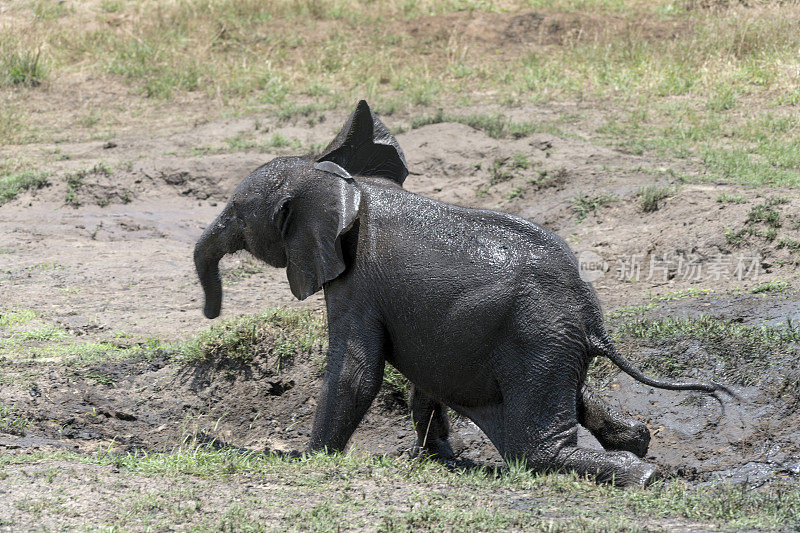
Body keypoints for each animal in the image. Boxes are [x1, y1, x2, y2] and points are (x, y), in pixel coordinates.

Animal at [195, 100, 732, 486]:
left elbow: (356, 373)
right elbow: (418, 380)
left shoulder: (356, 284)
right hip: (554, 343)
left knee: (536, 450)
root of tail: (592, 316)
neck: (342, 182)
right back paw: (637, 445)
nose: (210, 313)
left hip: (536, 336)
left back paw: (643, 477)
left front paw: (309, 458)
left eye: (237, 215)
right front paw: (437, 459)